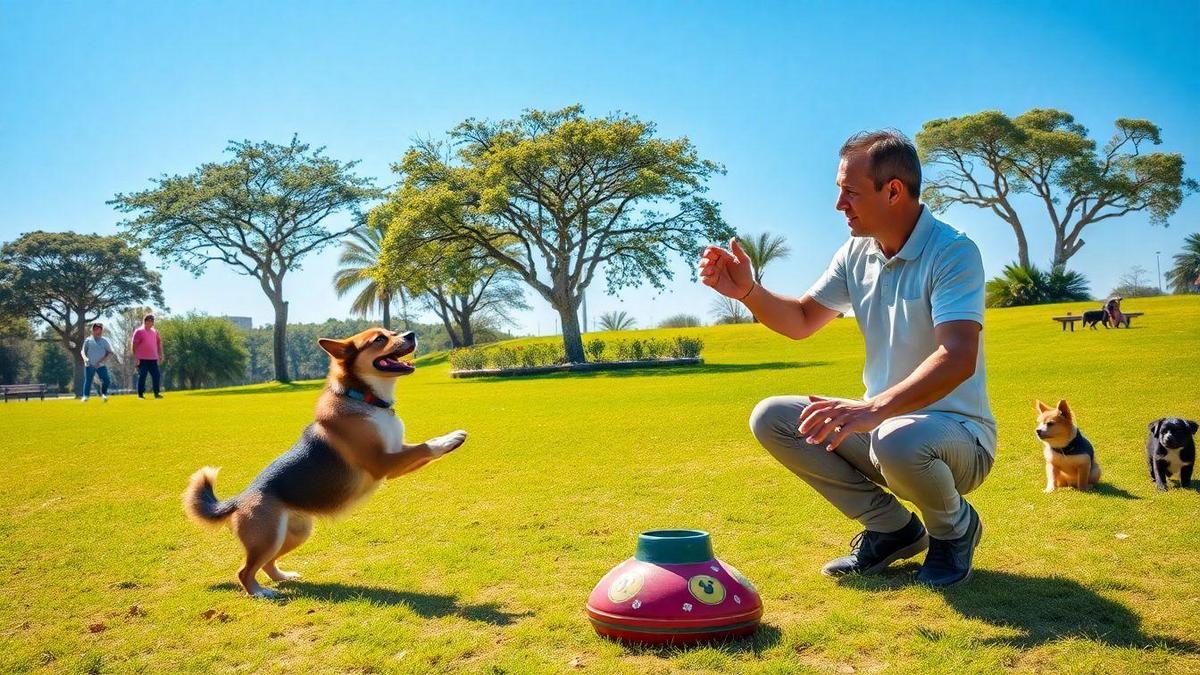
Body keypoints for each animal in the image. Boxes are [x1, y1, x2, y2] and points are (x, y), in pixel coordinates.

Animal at [180, 326, 465, 593]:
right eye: (379, 339)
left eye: (392, 331)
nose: (411, 333)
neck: (364, 398)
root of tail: (239, 499)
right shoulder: (383, 463)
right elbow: (423, 448)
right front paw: (450, 439)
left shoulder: (396, 451)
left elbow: (418, 449)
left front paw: (449, 441)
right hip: (267, 537)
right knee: (244, 571)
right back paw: (261, 593)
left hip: (295, 534)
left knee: (267, 563)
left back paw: (283, 577)